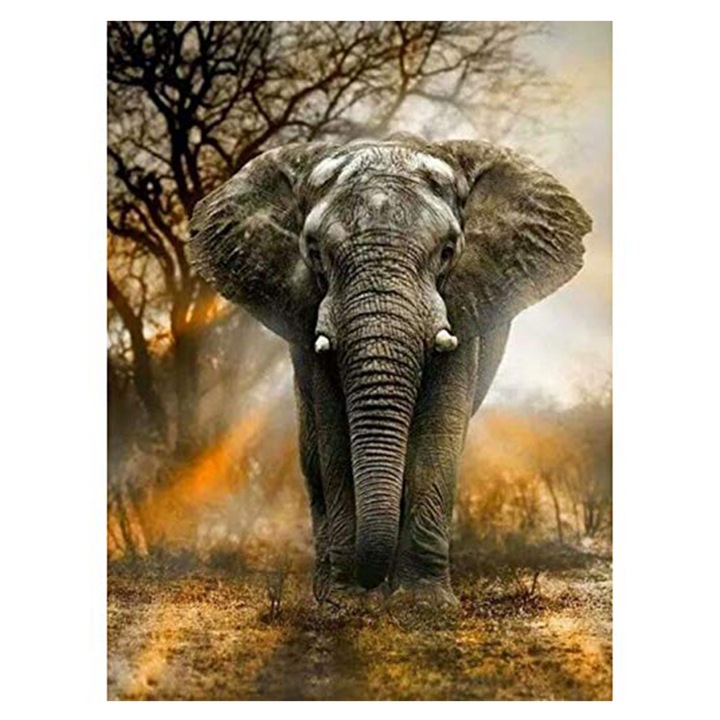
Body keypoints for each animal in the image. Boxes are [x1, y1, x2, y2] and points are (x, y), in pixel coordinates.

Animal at [189, 133, 592, 610]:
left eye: (447, 251)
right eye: (314, 253)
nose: (367, 584)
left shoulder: (461, 305)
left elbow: (438, 431)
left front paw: (423, 605)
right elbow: (334, 434)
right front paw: (346, 603)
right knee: (312, 453)